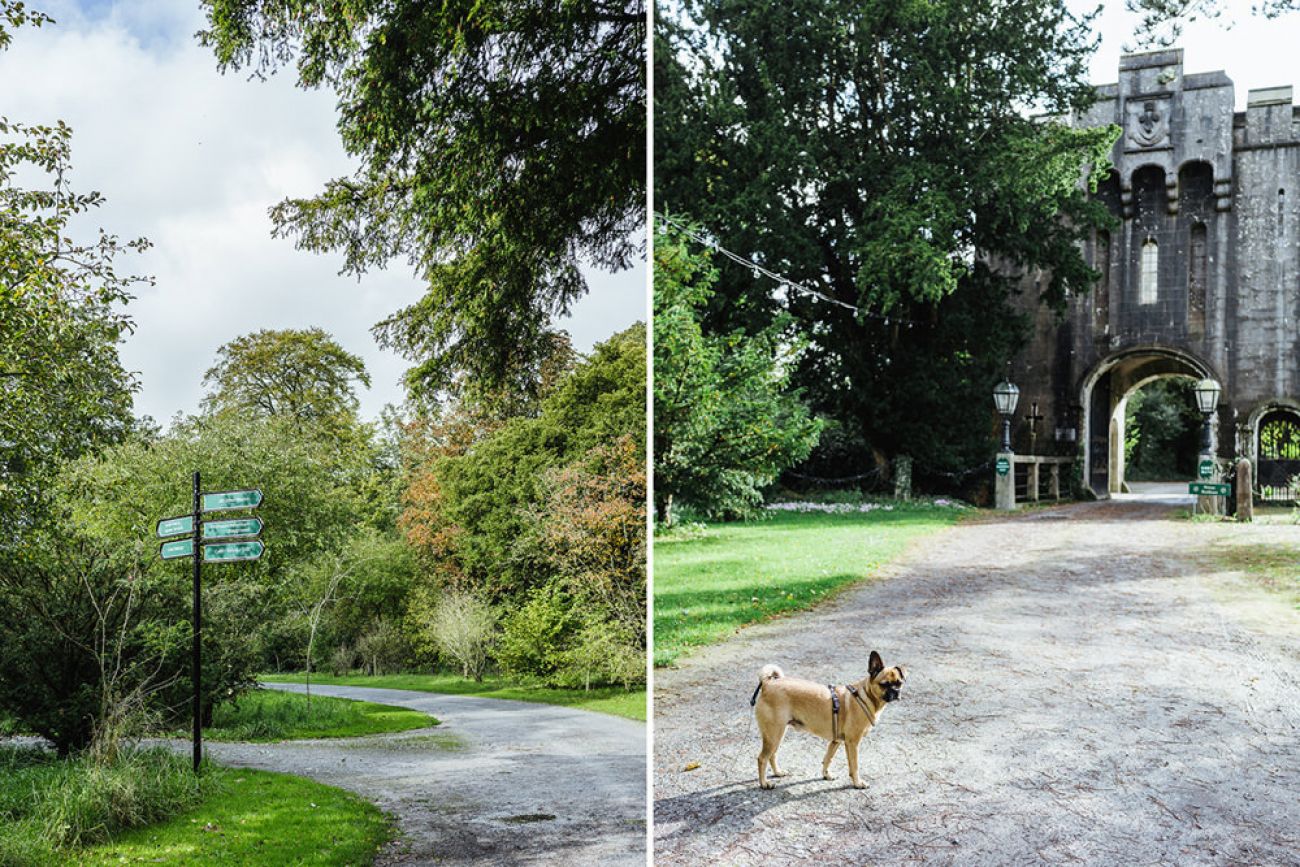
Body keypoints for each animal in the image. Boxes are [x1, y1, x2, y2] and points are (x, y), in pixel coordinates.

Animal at [754, 649, 904, 785]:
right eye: (884, 684)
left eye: (899, 683)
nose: (896, 692)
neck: (864, 696)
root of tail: (768, 683)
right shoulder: (853, 743)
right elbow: (854, 765)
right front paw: (857, 783)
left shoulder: (836, 742)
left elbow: (828, 759)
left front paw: (826, 775)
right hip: (773, 735)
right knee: (762, 758)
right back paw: (764, 783)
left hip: (777, 735)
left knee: (772, 755)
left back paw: (777, 773)